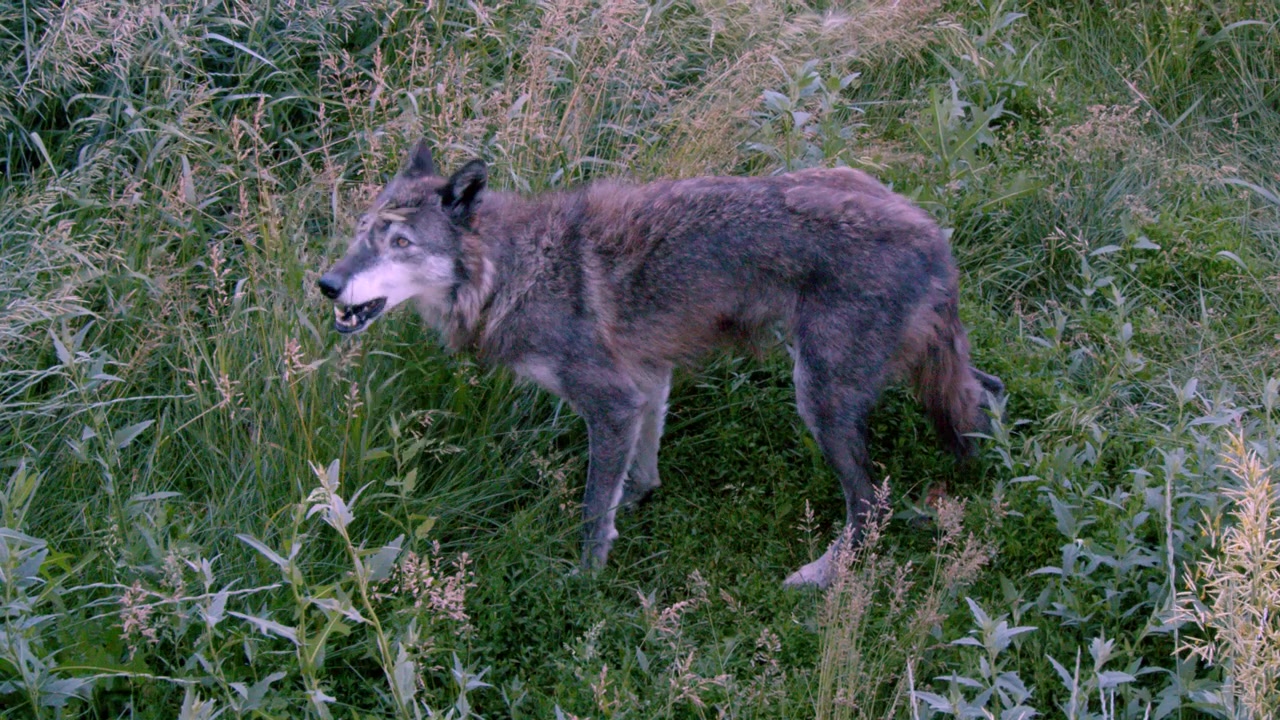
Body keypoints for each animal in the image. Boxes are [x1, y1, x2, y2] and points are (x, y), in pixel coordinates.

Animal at [318, 140, 1003, 587]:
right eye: (360, 230)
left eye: (400, 242)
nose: (326, 285)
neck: (513, 271)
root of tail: (932, 233)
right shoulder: (645, 384)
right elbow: (637, 473)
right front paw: (635, 505)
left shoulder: (611, 402)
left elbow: (593, 509)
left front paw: (583, 584)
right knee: (988, 392)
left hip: (820, 399)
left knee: (872, 505)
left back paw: (818, 575)